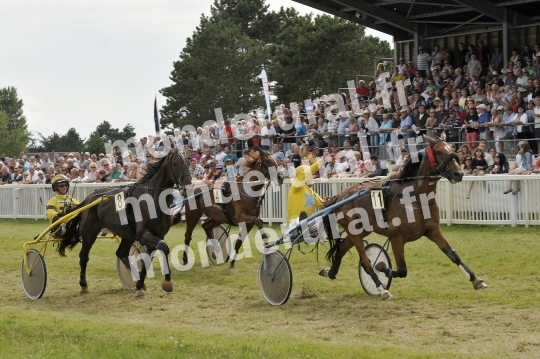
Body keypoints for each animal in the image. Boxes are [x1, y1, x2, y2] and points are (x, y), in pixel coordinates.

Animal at [57, 150, 191, 300]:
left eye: (188, 162)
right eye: (175, 164)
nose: (188, 187)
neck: (153, 199)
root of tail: (90, 197)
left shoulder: (157, 234)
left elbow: (150, 256)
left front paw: (141, 286)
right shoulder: (143, 234)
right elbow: (163, 247)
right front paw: (166, 282)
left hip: (127, 235)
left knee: (121, 253)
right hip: (90, 233)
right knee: (84, 256)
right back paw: (83, 285)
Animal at [318, 136, 488, 300]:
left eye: (452, 149)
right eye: (439, 152)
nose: (458, 174)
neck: (416, 198)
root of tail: (340, 196)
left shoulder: (433, 230)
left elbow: (453, 255)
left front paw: (476, 280)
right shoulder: (396, 238)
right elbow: (401, 270)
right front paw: (381, 268)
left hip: (362, 230)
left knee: (341, 248)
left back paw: (330, 272)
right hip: (354, 232)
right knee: (366, 262)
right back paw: (382, 290)